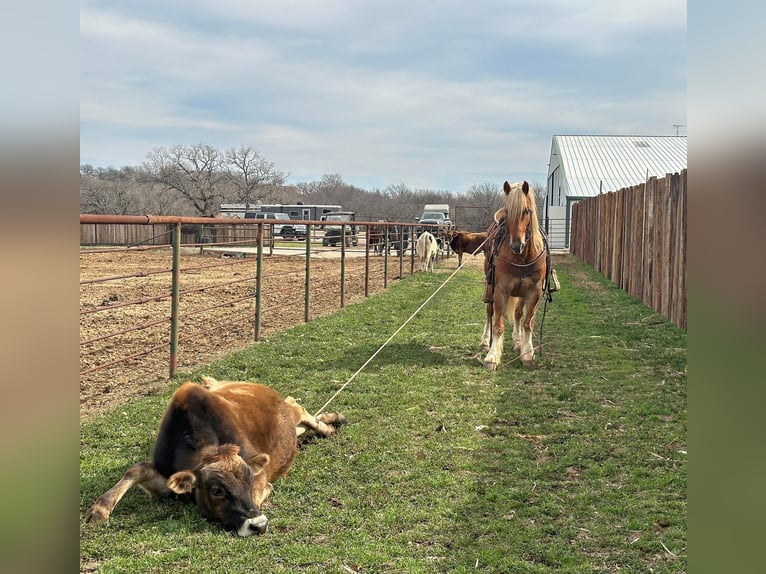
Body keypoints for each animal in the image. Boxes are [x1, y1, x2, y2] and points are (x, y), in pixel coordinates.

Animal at [85, 380, 346, 536]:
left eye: (249, 481)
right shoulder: (163, 480)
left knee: (300, 408)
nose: (259, 525)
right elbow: (136, 469)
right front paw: (100, 509)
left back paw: (330, 423)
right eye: (216, 490)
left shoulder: (261, 475)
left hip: (292, 412)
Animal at [484, 181, 548, 374]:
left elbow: (527, 322)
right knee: (489, 312)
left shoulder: (534, 292)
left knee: (519, 314)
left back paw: (518, 341)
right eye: (507, 211)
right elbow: (498, 324)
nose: (516, 245)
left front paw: (527, 353)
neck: (522, 257)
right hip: (490, 285)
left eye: (526, 211)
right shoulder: (500, 290)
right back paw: (485, 341)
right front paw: (492, 355)